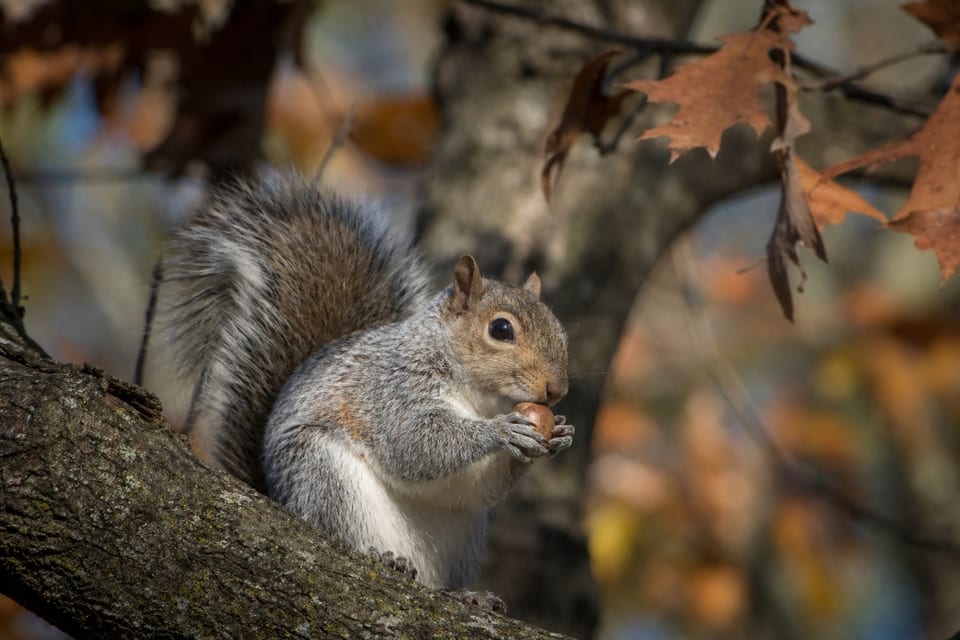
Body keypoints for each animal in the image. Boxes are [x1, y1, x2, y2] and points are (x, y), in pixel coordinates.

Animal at [157, 171, 574, 591]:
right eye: (501, 329)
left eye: (560, 329)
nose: (557, 390)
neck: (479, 399)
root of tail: (278, 499)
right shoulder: (391, 388)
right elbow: (416, 442)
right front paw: (502, 431)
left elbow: (481, 487)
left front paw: (558, 434)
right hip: (321, 476)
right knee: (339, 530)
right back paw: (383, 557)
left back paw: (466, 596)